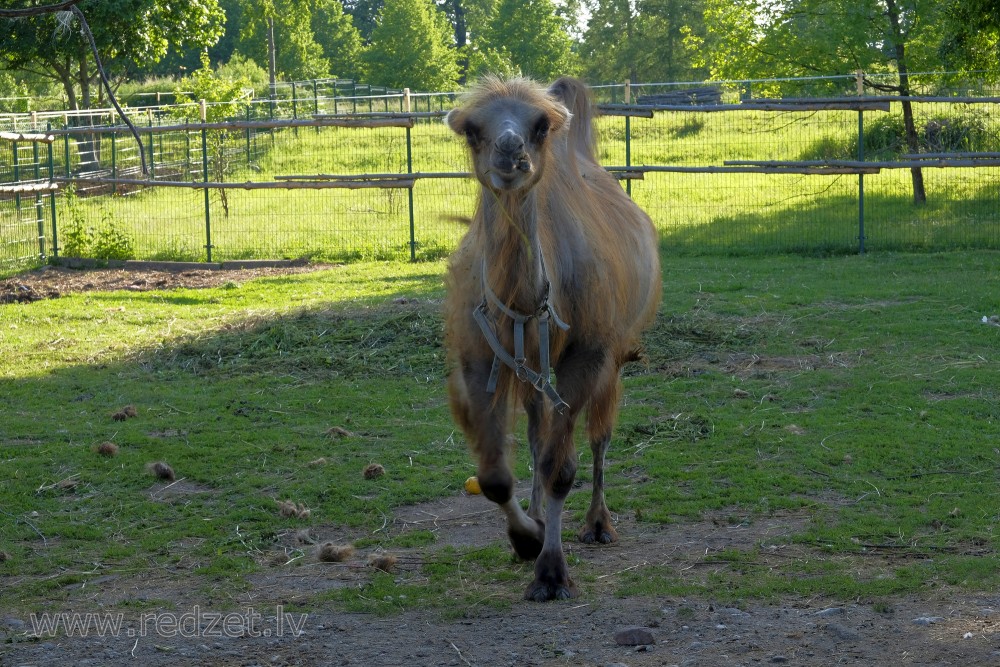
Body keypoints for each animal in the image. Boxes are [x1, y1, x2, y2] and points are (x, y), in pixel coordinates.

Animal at [442, 75, 660, 604]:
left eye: (540, 126)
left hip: (612, 356)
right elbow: (495, 476)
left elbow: (562, 467)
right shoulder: (480, 356)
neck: (526, 305)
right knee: (539, 434)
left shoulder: (588, 354)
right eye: (472, 130)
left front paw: (551, 572)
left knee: (598, 435)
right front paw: (527, 539)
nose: (510, 149)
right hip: (532, 369)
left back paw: (598, 524)